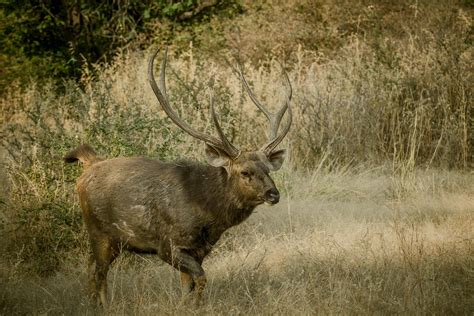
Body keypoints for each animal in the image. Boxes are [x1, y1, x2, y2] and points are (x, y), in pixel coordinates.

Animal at [64, 49, 292, 306]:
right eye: (245, 172)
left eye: (268, 169)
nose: (273, 194)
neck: (208, 215)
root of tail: (89, 165)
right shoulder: (168, 244)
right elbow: (201, 278)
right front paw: (193, 306)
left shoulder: (200, 249)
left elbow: (188, 285)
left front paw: (189, 305)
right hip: (99, 232)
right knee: (99, 273)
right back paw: (105, 306)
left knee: (90, 268)